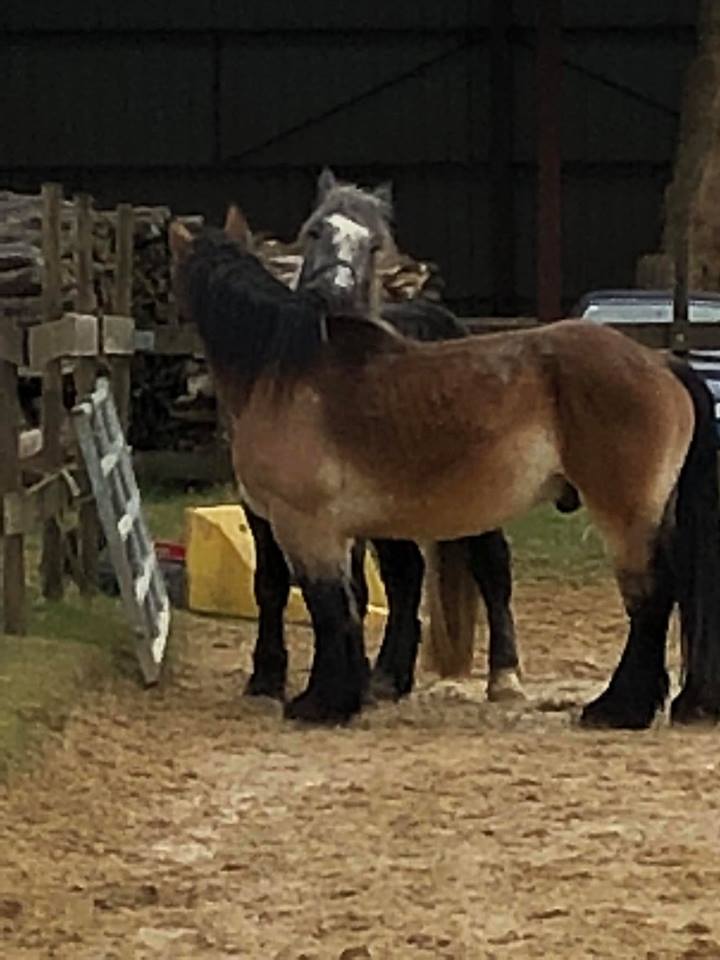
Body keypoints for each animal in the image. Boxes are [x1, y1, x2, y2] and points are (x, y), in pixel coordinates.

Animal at [170, 193, 720, 736]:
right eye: (313, 232)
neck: (284, 370)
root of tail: (661, 361)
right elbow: (344, 604)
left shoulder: (304, 526)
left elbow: (328, 609)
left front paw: (321, 702)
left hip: (623, 515)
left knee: (649, 598)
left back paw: (617, 708)